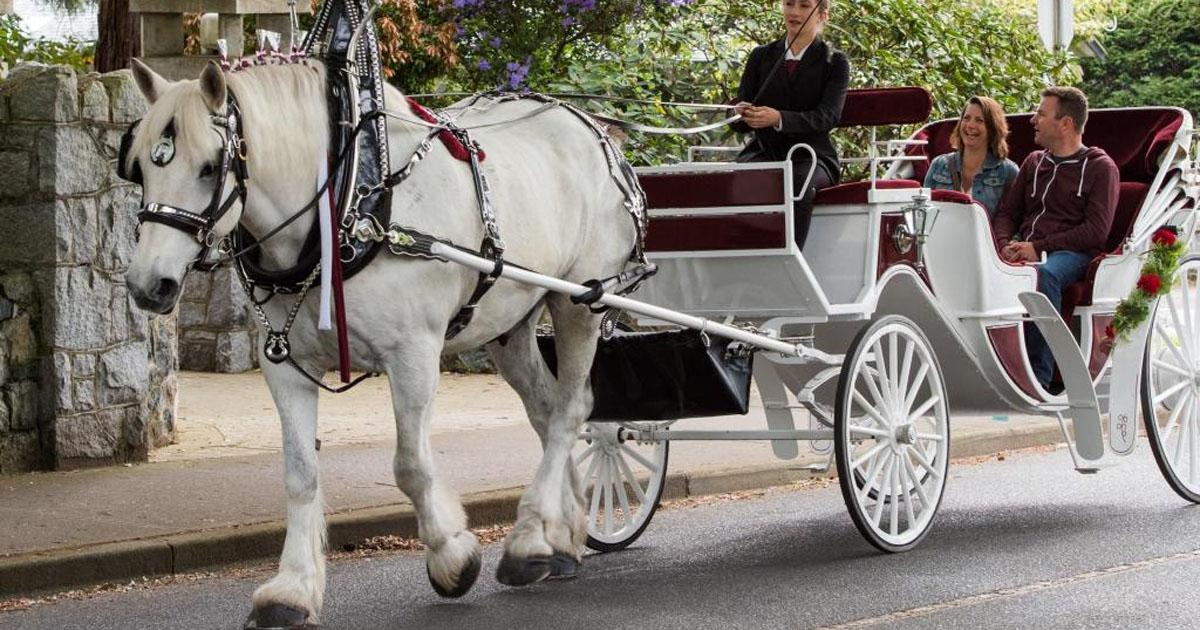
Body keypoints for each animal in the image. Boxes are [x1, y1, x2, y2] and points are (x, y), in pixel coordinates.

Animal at [126, 57, 638, 624]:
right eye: (141, 167)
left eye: (209, 167)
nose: (148, 285)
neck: (347, 206)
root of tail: (593, 128)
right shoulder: (284, 366)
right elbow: (300, 474)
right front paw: (292, 589)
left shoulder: (413, 356)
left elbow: (410, 466)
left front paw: (452, 557)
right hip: (511, 323)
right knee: (547, 413)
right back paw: (560, 538)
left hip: (581, 302)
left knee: (573, 410)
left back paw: (527, 541)